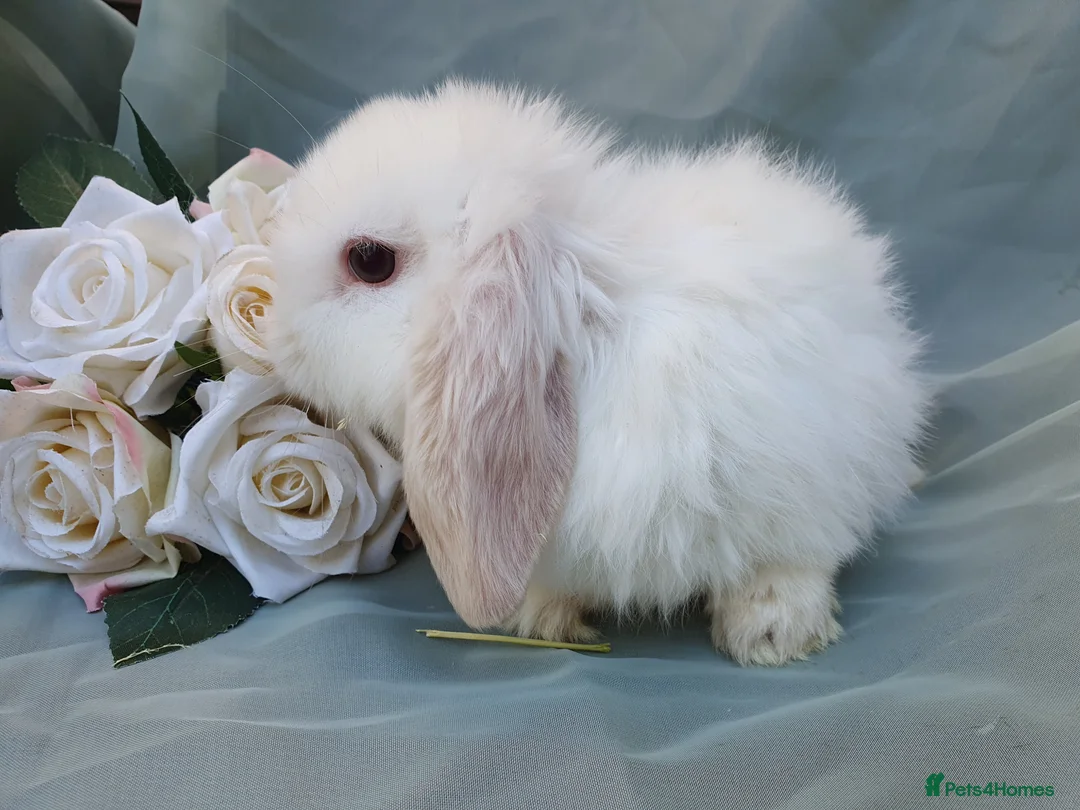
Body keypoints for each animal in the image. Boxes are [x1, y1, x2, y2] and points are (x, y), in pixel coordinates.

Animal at [265, 79, 930, 666]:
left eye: (369, 260)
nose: (278, 340)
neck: (590, 323)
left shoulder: (797, 482)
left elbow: (790, 558)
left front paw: (773, 632)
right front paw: (543, 618)